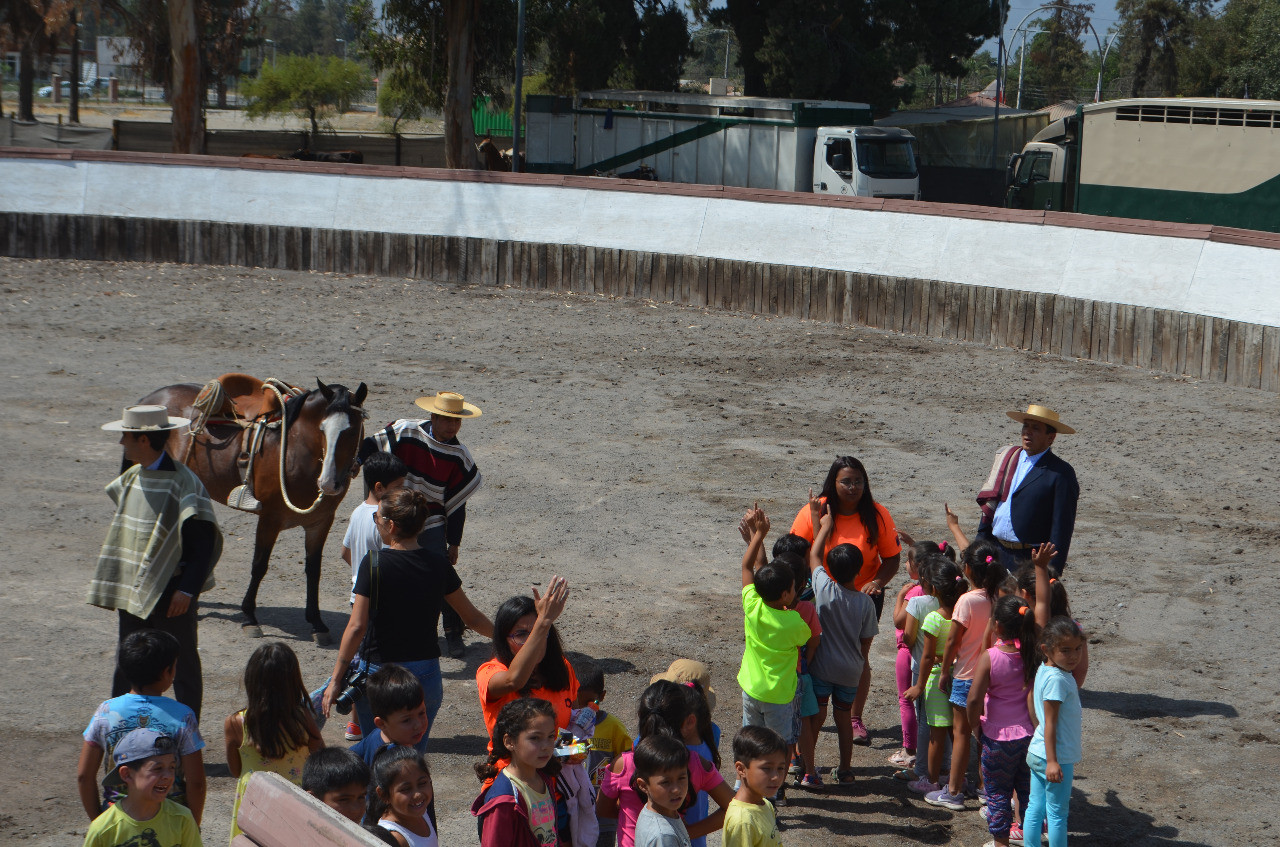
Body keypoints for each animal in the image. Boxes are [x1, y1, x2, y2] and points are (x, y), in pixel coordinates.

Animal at [138, 378, 368, 644]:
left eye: (352, 430)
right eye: (322, 429)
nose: (329, 483)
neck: (294, 448)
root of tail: (149, 399)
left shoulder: (320, 523)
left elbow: (313, 570)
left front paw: (317, 623)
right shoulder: (270, 519)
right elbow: (259, 565)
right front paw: (249, 617)